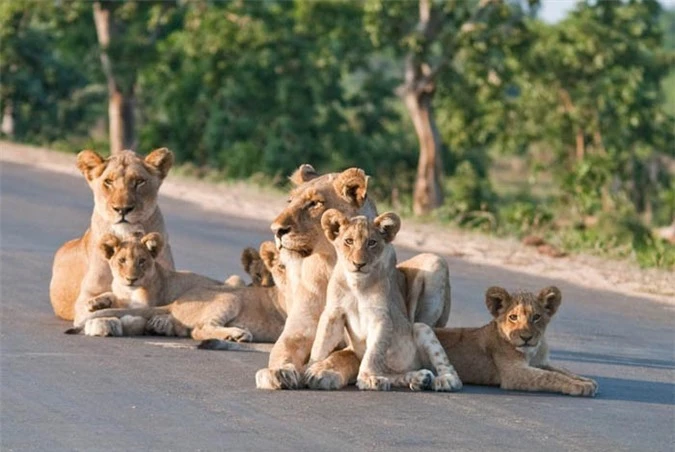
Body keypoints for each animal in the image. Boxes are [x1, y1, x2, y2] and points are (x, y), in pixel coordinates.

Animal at [51, 148, 176, 322]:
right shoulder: (85, 297)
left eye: (139, 181)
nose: (122, 209)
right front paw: (100, 304)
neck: (128, 237)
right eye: (108, 182)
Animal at [70, 233, 286, 342]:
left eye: (142, 261)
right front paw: (97, 302)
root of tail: (175, 304)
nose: (131, 278)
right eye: (122, 261)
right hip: (230, 296)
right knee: (200, 329)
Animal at [308, 210, 462, 390]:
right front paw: (311, 368)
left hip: (422, 323)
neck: (357, 284)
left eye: (372, 243)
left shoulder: (381, 318)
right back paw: (419, 379)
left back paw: (445, 380)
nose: (359, 264)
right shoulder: (333, 313)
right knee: (395, 375)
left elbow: (373, 352)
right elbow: (321, 343)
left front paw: (367, 378)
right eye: (349, 241)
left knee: (448, 369)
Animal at [434, 286, 596, 396]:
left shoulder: (540, 363)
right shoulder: (513, 374)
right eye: (513, 317)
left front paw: (586, 380)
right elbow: (549, 376)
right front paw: (581, 386)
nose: (526, 337)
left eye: (536, 317)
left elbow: (562, 370)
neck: (533, 352)